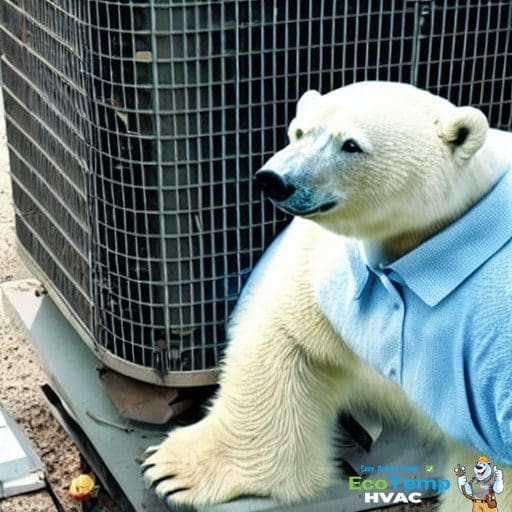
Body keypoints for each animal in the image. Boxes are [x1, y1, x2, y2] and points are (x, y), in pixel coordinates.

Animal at [141, 82, 512, 510]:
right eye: (300, 131)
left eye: (351, 145)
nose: (274, 179)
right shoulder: (343, 277)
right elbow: (282, 336)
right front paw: (173, 468)